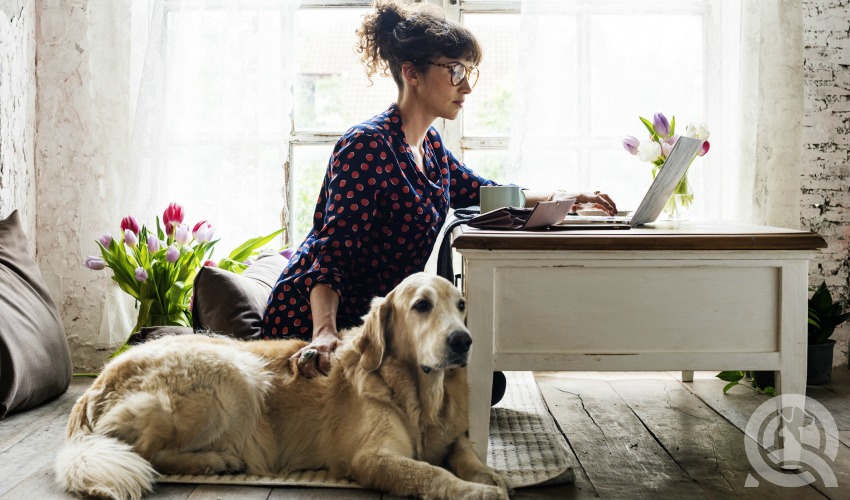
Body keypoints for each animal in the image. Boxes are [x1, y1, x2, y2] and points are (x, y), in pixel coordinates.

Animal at [59, 274, 512, 500]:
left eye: (462, 306)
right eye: (421, 306)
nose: (463, 341)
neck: (420, 394)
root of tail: (95, 384)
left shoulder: (453, 437)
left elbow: (469, 456)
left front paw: (491, 477)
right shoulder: (371, 457)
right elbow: (431, 474)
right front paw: (477, 492)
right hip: (235, 373)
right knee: (145, 453)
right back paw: (216, 461)